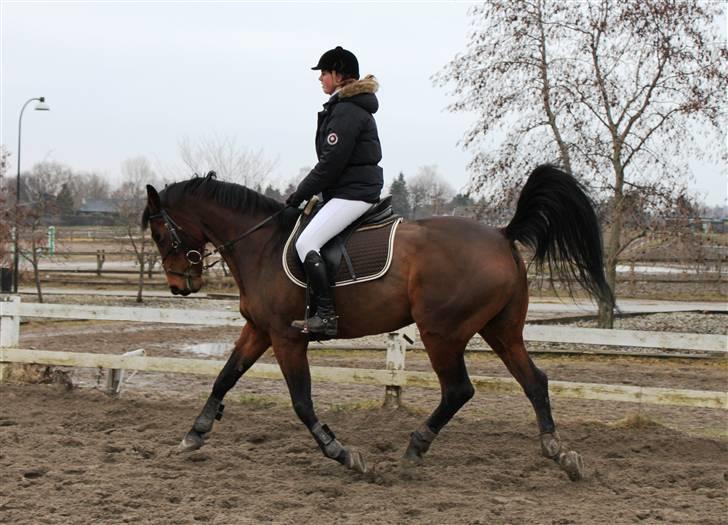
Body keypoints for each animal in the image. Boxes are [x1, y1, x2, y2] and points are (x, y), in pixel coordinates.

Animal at [144, 164, 616, 478]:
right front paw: (193, 435)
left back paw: (414, 448)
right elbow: (224, 378)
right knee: (534, 380)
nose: (179, 286)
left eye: (159, 233)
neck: (261, 245)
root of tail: (502, 235)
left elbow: (301, 402)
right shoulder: (260, 330)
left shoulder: (286, 337)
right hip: (500, 329)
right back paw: (558, 452)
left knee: (459, 390)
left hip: (441, 331)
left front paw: (343, 453)